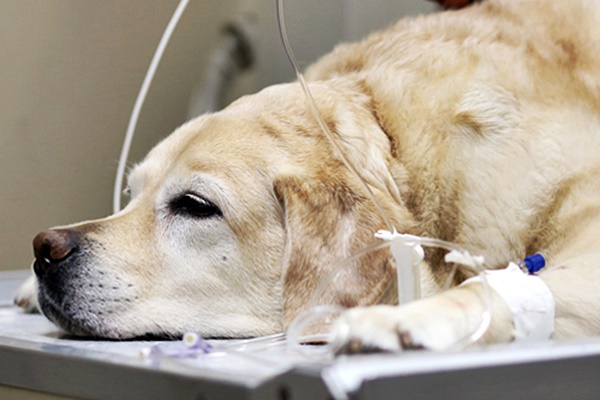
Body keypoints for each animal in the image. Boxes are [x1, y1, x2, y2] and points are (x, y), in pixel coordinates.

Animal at [15, 0, 600, 350]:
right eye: (131, 194)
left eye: (195, 205)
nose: (45, 248)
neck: (397, 141)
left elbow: (493, 287)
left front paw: (403, 321)